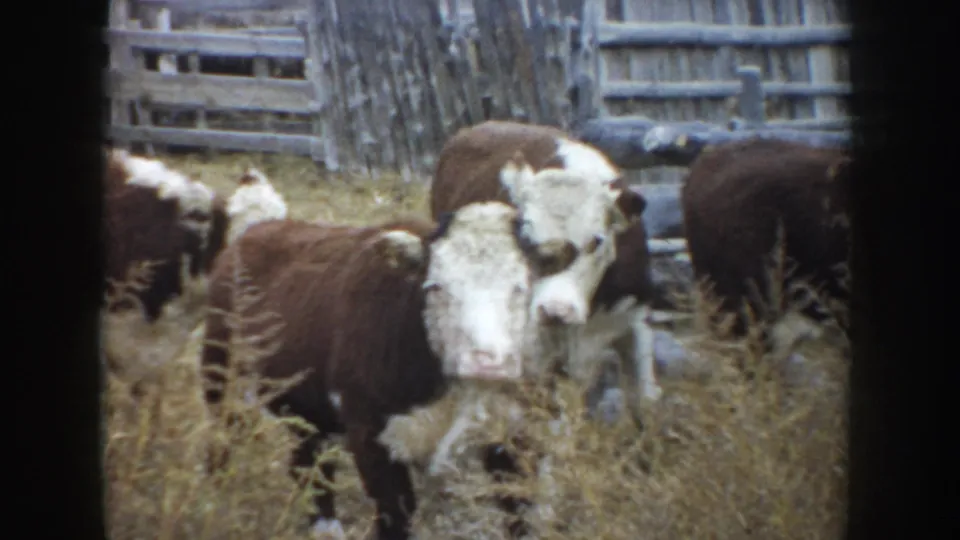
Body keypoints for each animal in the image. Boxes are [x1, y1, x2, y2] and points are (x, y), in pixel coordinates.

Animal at [200, 199, 581, 540]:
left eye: (521, 287)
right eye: (435, 286)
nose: (486, 360)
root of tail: (254, 233)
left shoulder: (516, 440)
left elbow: (520, 513)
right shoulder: (370, 435)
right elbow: (395, 514)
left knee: (308, 461)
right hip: (222, 377)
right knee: (222, 440)